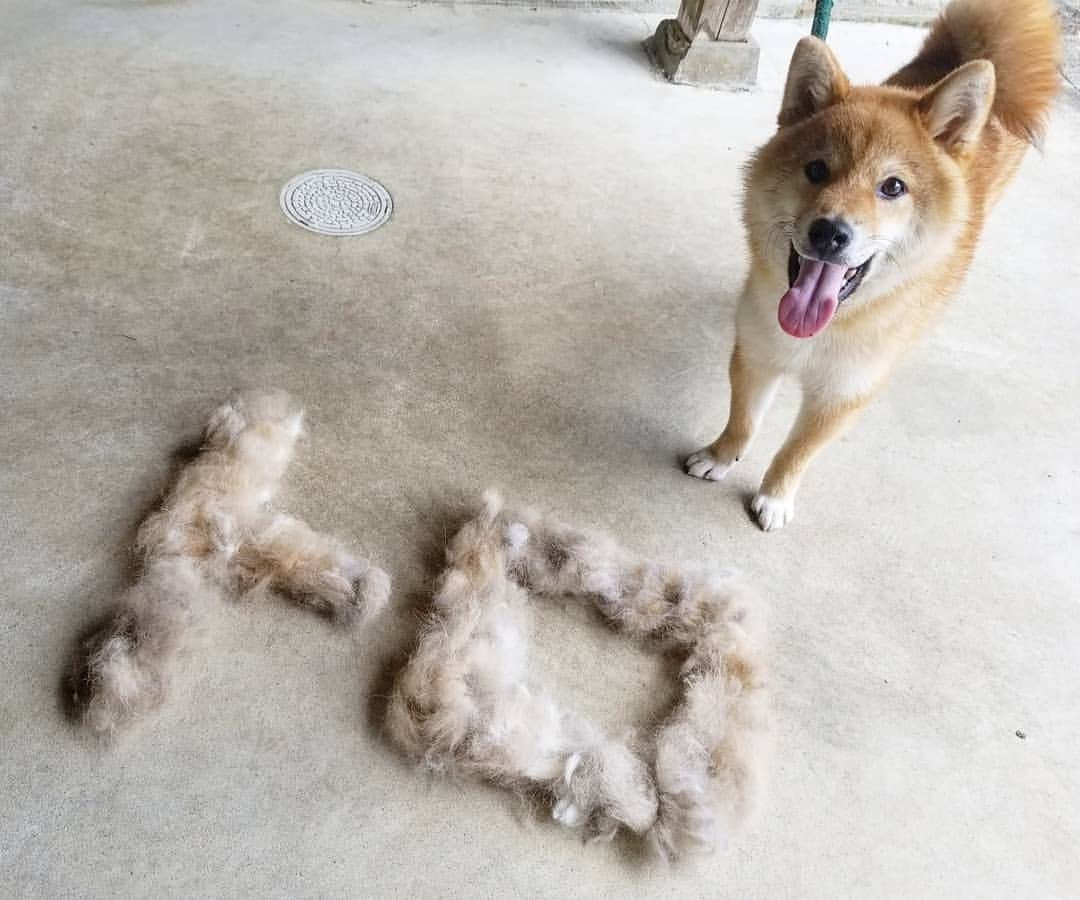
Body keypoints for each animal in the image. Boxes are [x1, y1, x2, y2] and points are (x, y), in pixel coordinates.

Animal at [686, 0, 1058, 529]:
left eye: (893, 187)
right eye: (816, 169)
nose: (830, 232)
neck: (823, 331)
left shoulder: (845, 392)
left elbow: (797, 451)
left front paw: (775, 496)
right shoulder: (758, 353)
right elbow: (743, 420)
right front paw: (720, 456)